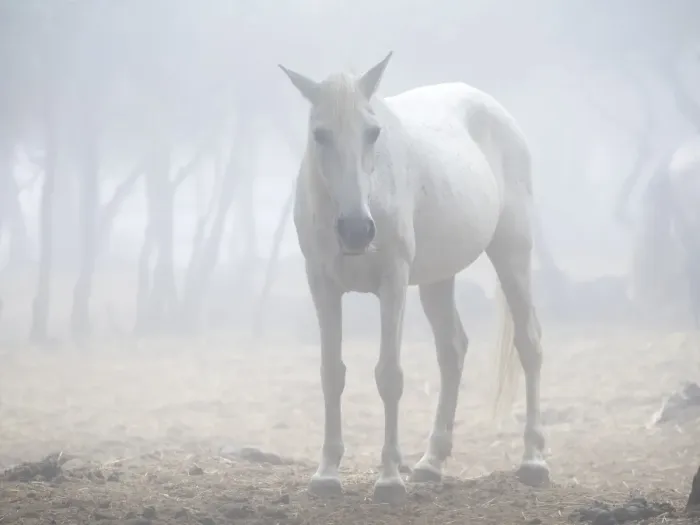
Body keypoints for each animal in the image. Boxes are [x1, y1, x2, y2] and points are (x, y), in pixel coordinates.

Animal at [279, 52, 548, 504]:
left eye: (373, 132)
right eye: (320, 134)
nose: (357, 230)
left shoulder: (393, 282)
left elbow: (389, 375)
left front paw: (389, 480)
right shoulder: (322, 284)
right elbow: (331, 373)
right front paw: (327, 473)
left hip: (512, 253)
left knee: (529, 343)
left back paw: (534, 460)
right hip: (438, 279)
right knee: (452, 350)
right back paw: (430, 463)